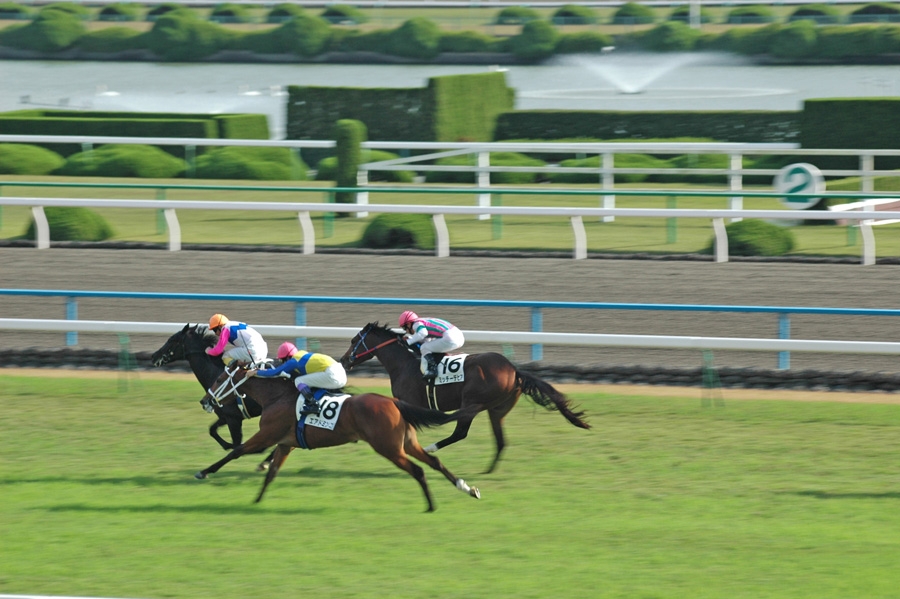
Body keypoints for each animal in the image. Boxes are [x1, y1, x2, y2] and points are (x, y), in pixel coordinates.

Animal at [197, 364, 482, 512]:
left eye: (220, 378)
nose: (204, 401)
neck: (277, 396)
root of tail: (393, 401)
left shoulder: (266, 436)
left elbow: (236, 451)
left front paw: (204, 472)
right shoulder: (285, 443)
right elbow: (272, 472)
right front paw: (256, 501)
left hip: (388, 448)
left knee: (418, 470)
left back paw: (431, 505)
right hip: (407, 443)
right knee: (435, 463)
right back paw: (467, 488)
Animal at [340, 322, 591, 473]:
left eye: (353, 341)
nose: (343, 361)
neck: (404, 364)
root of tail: (514, 370)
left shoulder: (410, 403)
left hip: (472, 401)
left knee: (460, 431)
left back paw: (431, 448)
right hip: (496, 409)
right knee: (500, 440)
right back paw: (488, 470)